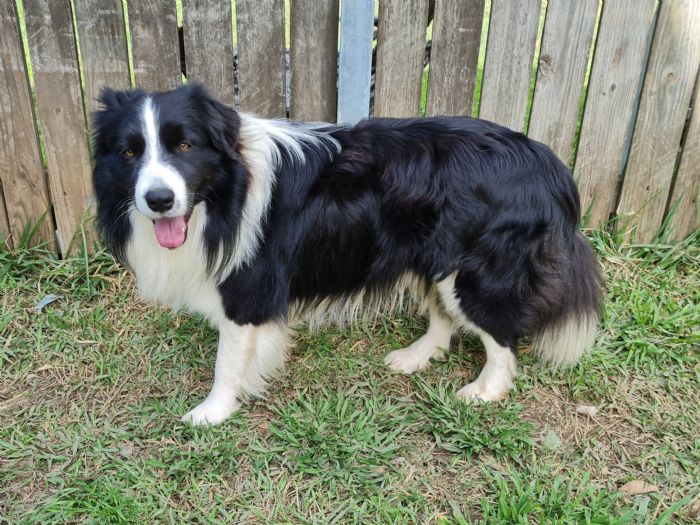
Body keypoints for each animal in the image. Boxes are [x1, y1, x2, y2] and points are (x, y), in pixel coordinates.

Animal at [91, 83, 601, 425]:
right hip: (432, 256)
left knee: (501, 333)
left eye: (184, 145)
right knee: (444, 315)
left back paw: (483, 392)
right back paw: (415, 357)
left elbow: (228, 361)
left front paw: (211, 413)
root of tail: (548, 164)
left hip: (477, 270)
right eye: (129, 152)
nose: (158, 200)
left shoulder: (248, 288)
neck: (224, 194)